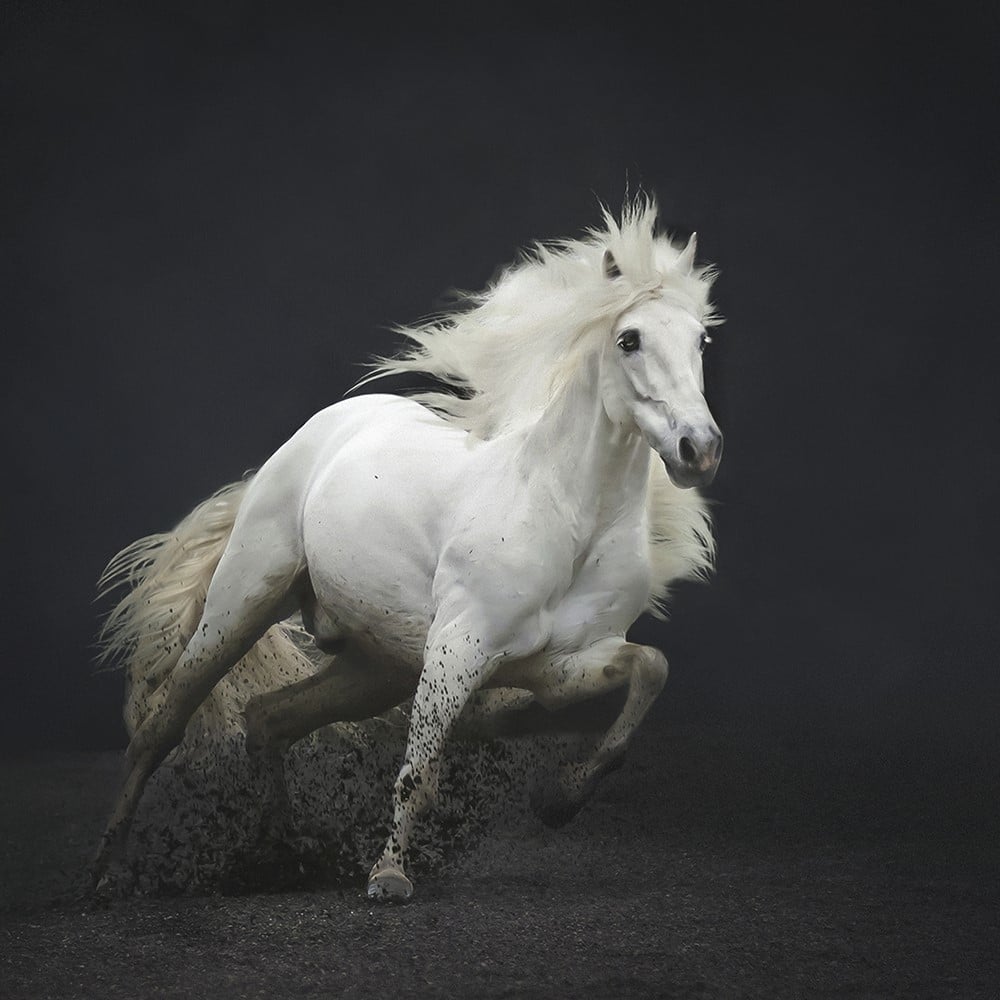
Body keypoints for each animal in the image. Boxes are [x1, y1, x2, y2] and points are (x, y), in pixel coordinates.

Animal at [92, 199, 720, 904]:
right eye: (628, 339)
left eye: (700, 340)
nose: (699, 449)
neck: (562, 516)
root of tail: (312, 437)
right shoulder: (457, 651)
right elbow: (418, 769)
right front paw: (389, 877)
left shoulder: (560, 665)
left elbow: (651, 670)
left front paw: (559, 799)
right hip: (241, 604)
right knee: (161, 727)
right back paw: (105, 876)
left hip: (374, 667)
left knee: (267, 718)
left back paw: (283, 861)